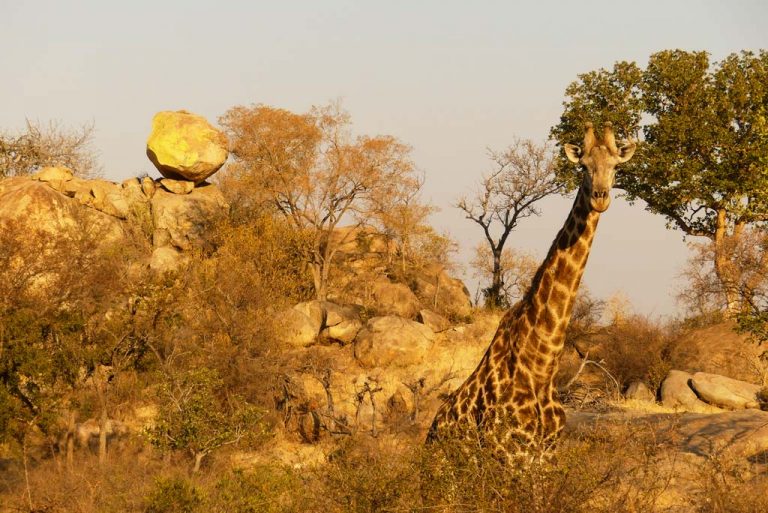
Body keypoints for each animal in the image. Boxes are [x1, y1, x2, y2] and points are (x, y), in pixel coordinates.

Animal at [426, 122, 636, 461]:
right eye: (583, 166)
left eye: (616, 166)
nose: (600, 198)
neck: (541, 367)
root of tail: (431, 432)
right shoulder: (510, 452)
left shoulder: (545, 455)